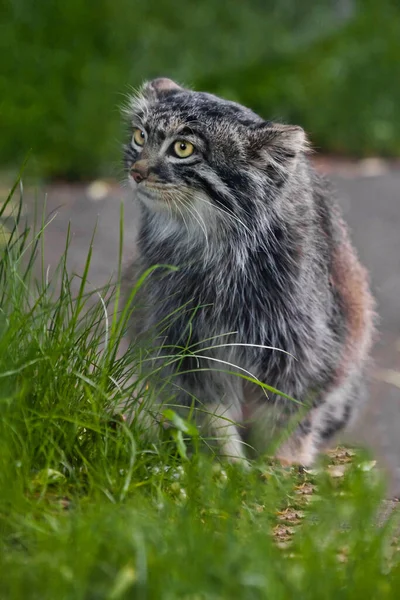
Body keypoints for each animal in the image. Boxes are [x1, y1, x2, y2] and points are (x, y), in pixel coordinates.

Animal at [121, 77, 376, 466]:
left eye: (182, 148)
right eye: (139, 136)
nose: (137, 172)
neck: (214, 248)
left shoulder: (300, 348)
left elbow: (285, 419)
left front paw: (281, 467)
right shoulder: (184, 340)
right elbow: (212, 414)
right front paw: (227, 466)